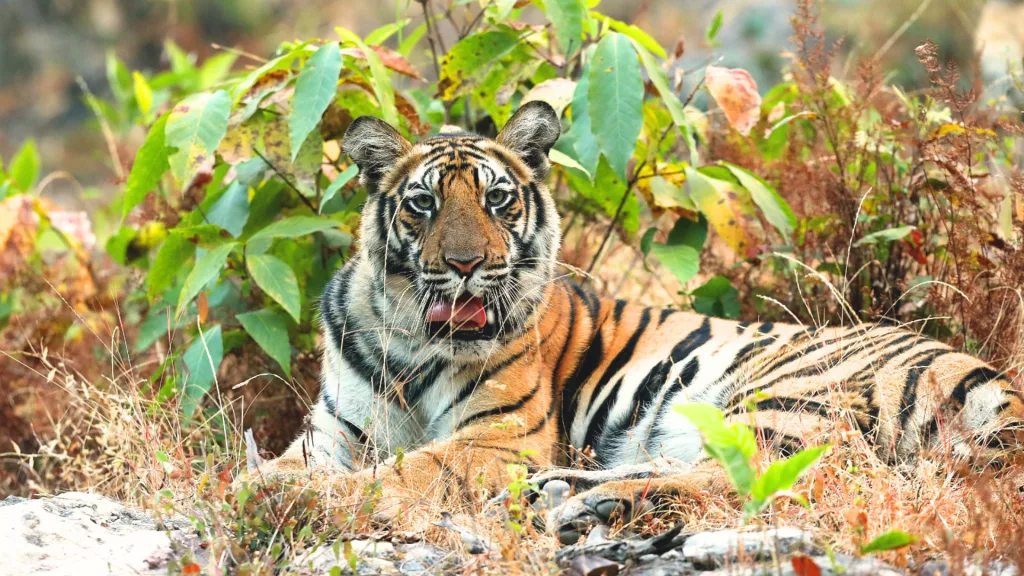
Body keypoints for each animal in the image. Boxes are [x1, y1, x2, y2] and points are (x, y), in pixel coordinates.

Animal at [253, 101, 1024, 545]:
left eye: (498, 200)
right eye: (423, 204)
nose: (468, 264)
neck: (410, 340)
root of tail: (988, 375)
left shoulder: (498, 438)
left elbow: (411, 469)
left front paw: (293, 495)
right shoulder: (335, 431)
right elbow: (298, 461)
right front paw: (261, 484)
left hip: (788, 394)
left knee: (784, 477)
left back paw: (595, 509)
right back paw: (572, 498)